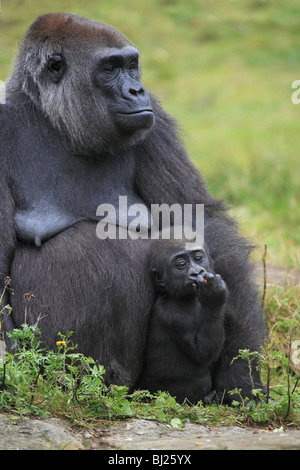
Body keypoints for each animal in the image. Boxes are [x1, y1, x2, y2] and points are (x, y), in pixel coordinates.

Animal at [137, 241, 229, 402]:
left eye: (198, 258)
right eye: (181, 264)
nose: (196, 272)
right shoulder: (175, 315)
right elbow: (202, 350)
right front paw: (214, 294)